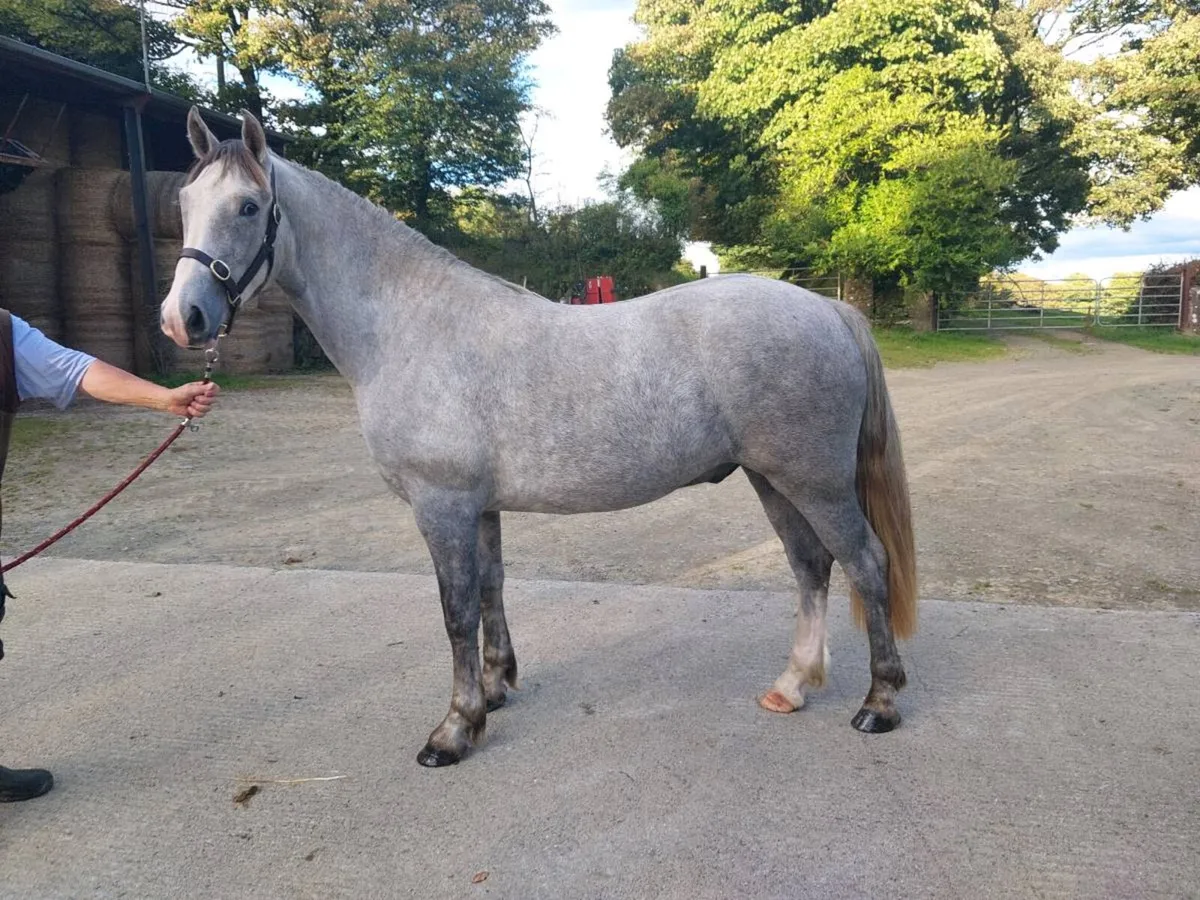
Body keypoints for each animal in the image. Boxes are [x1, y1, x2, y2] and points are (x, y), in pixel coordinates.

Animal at [161, 109, 918, 767]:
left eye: (248, 208)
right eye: (184, 201)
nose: (181, 318)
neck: (409, 326)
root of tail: (827, 308)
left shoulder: (442, 505)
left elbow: (455, 611)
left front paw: (454, 730)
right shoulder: (479, 507)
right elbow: (490, 591)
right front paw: (496, 689)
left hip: (814, 482)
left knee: (865, 563)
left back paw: (879, 703)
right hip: (773, 479)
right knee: (810, 567)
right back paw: (791, 686)